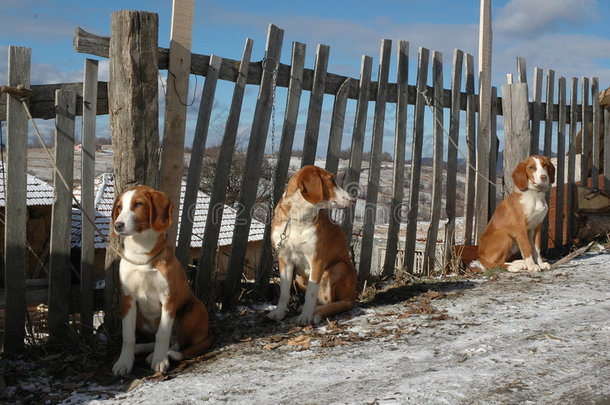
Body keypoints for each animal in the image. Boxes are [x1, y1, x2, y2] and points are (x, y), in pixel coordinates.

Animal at [110, 184, 213, 376]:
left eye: (138, 204)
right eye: (119, 206)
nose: (117, 225)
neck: (141, 255)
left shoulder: (168, 299)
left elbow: (162, 334)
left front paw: (159, 360)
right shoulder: (127, 300)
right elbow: (128, 336)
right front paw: (124, 362)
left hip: (195, 308)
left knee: (176, 343)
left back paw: (162, 354)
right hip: (141, 318)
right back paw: (142, 348)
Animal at [266, 165, 356, 326]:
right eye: (332, 180)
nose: (353, 200)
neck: (298, 218)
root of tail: (353, 297)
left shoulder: (317, 260)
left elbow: (311, 293)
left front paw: (306, 317)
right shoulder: (284, 259)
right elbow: (284, 292)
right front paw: (279, 312)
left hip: (339, 267)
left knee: (333, 302)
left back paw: (314, 312)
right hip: (299, 276)